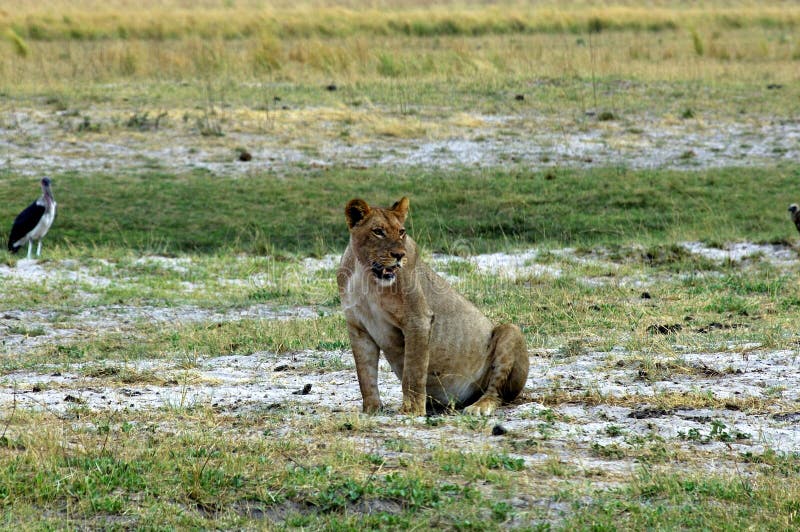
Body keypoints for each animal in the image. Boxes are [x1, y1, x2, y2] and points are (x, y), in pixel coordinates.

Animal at [337, 197, 530, 416]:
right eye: (378, 231)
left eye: (401, 232)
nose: (399, 255)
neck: (366, 276)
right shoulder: (358, 327)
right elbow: (365, 375)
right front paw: (372, 410)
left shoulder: (417, 319)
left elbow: (413, 371)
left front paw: (411, 411)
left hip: (511, 331)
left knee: (496, 392)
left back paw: (478, 407)